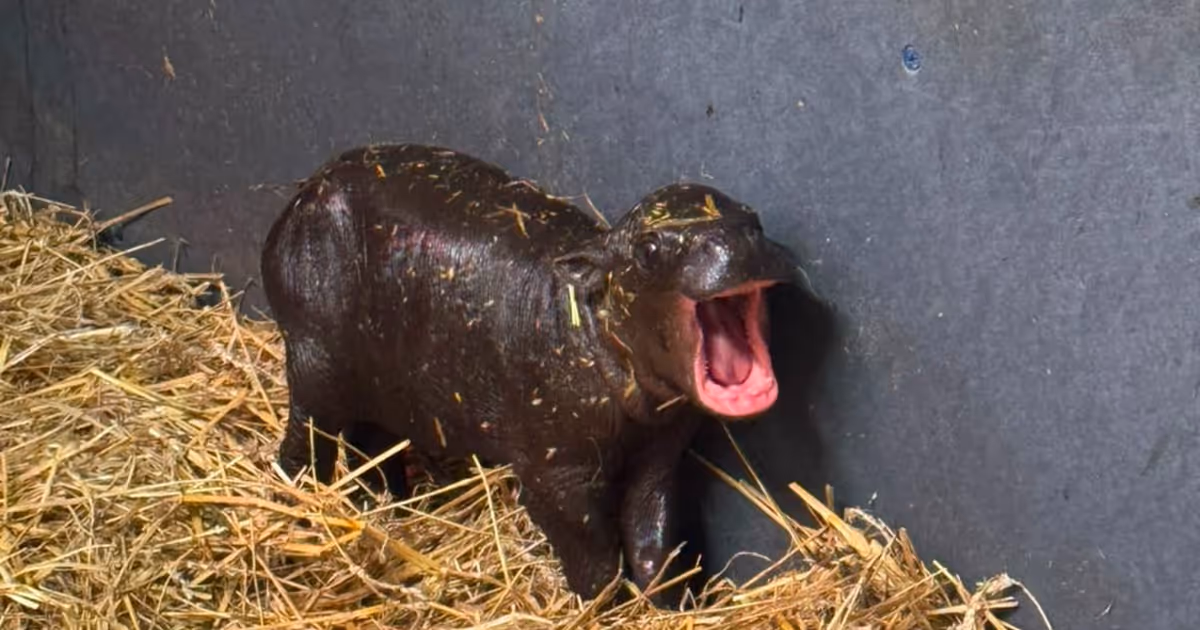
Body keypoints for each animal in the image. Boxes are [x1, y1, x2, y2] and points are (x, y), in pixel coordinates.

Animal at [260, 144, 801, 605]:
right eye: (648, 250)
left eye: (752, 220)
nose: (735, 243)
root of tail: (299, 195)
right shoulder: (553, 472)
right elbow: (593, 551)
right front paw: (601, 608)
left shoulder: (660, 452)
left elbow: (655, 534)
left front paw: (670, 606)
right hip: (315, 361)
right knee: (305, 437)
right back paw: (302, 504)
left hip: (383, 388)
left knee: (371, 446)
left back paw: (390, 508)